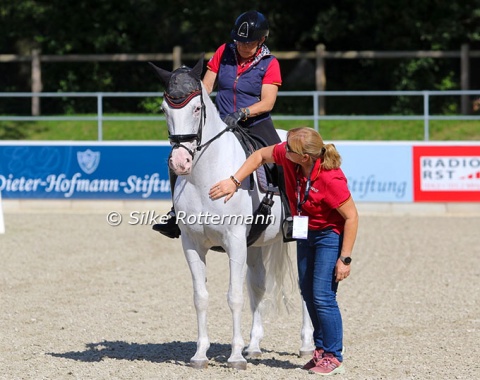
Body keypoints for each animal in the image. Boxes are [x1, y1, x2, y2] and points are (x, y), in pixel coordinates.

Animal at [150, 55, 316, 368]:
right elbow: (201, 297)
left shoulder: (235, 241)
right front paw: (201, 354)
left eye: (197, 108)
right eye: (165, 109)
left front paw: (236, 356)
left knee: (304, 288)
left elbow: (234, 296)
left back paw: (306, 345)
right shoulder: (192, 243)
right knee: (259, 287)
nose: (179, 162)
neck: (205, 177)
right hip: (256, 245)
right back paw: (255, 346)